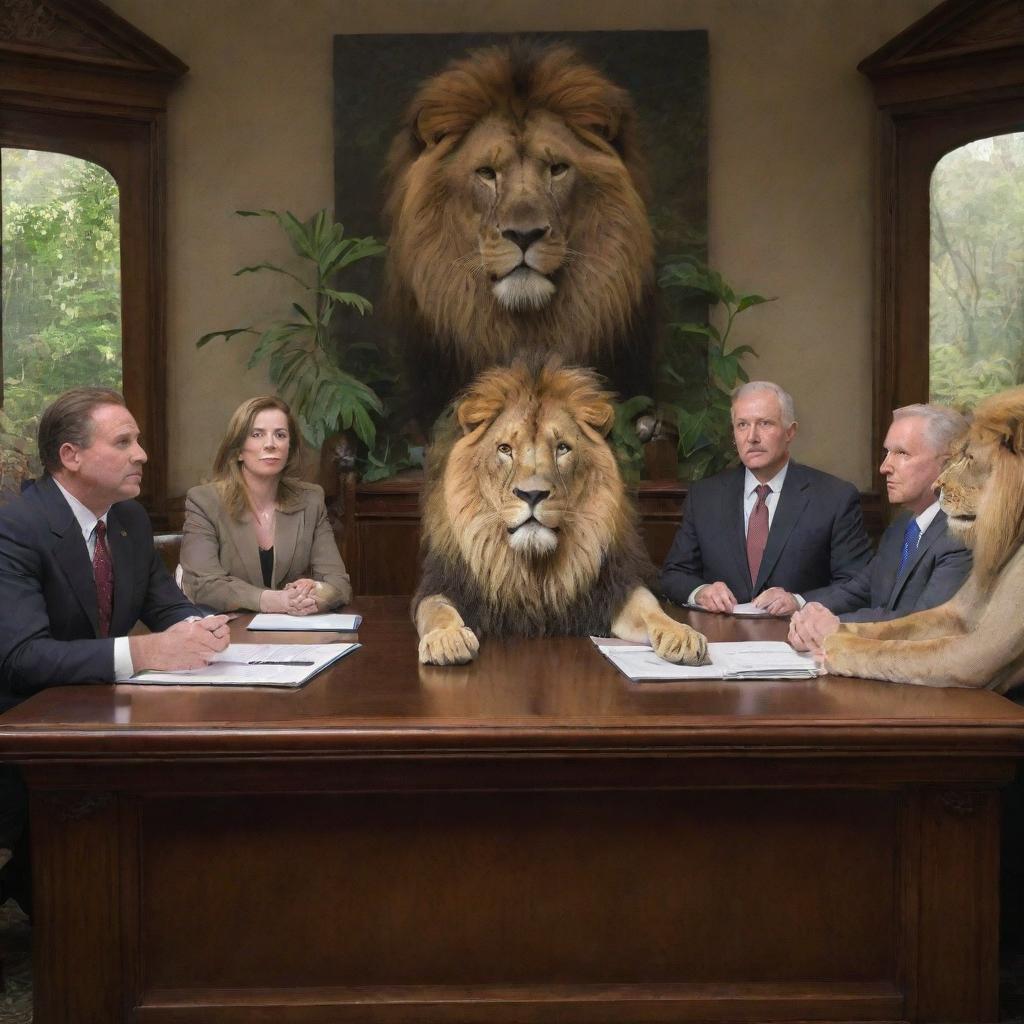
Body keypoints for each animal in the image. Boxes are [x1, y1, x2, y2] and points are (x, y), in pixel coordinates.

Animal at [411, 362, 708, 671]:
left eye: (562, 448)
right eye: (505, 449)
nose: (532, 494)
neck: (533, 569)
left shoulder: (615, 587)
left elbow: (650, 608)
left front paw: (682, 634)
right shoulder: (442, 584)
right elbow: (437, 610)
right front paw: (447, 639)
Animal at [827, 385, 1024, 696]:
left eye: (970, 458)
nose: (936, 487)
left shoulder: (983, 648)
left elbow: (896, 649)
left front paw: (834, 641)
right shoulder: (958, 612)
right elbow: (894, 626)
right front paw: (833, 627)